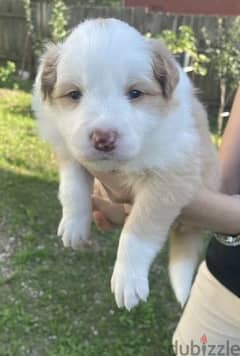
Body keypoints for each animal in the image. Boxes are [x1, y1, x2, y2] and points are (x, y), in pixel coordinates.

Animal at [32, 18, 220, 310]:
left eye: (135, 93)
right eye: (74, 94)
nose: (103, 138)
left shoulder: (171, 173)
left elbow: (137, 231)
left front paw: (128, 280)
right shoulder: (69, 148)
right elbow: (73, 188)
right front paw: (74, 225)